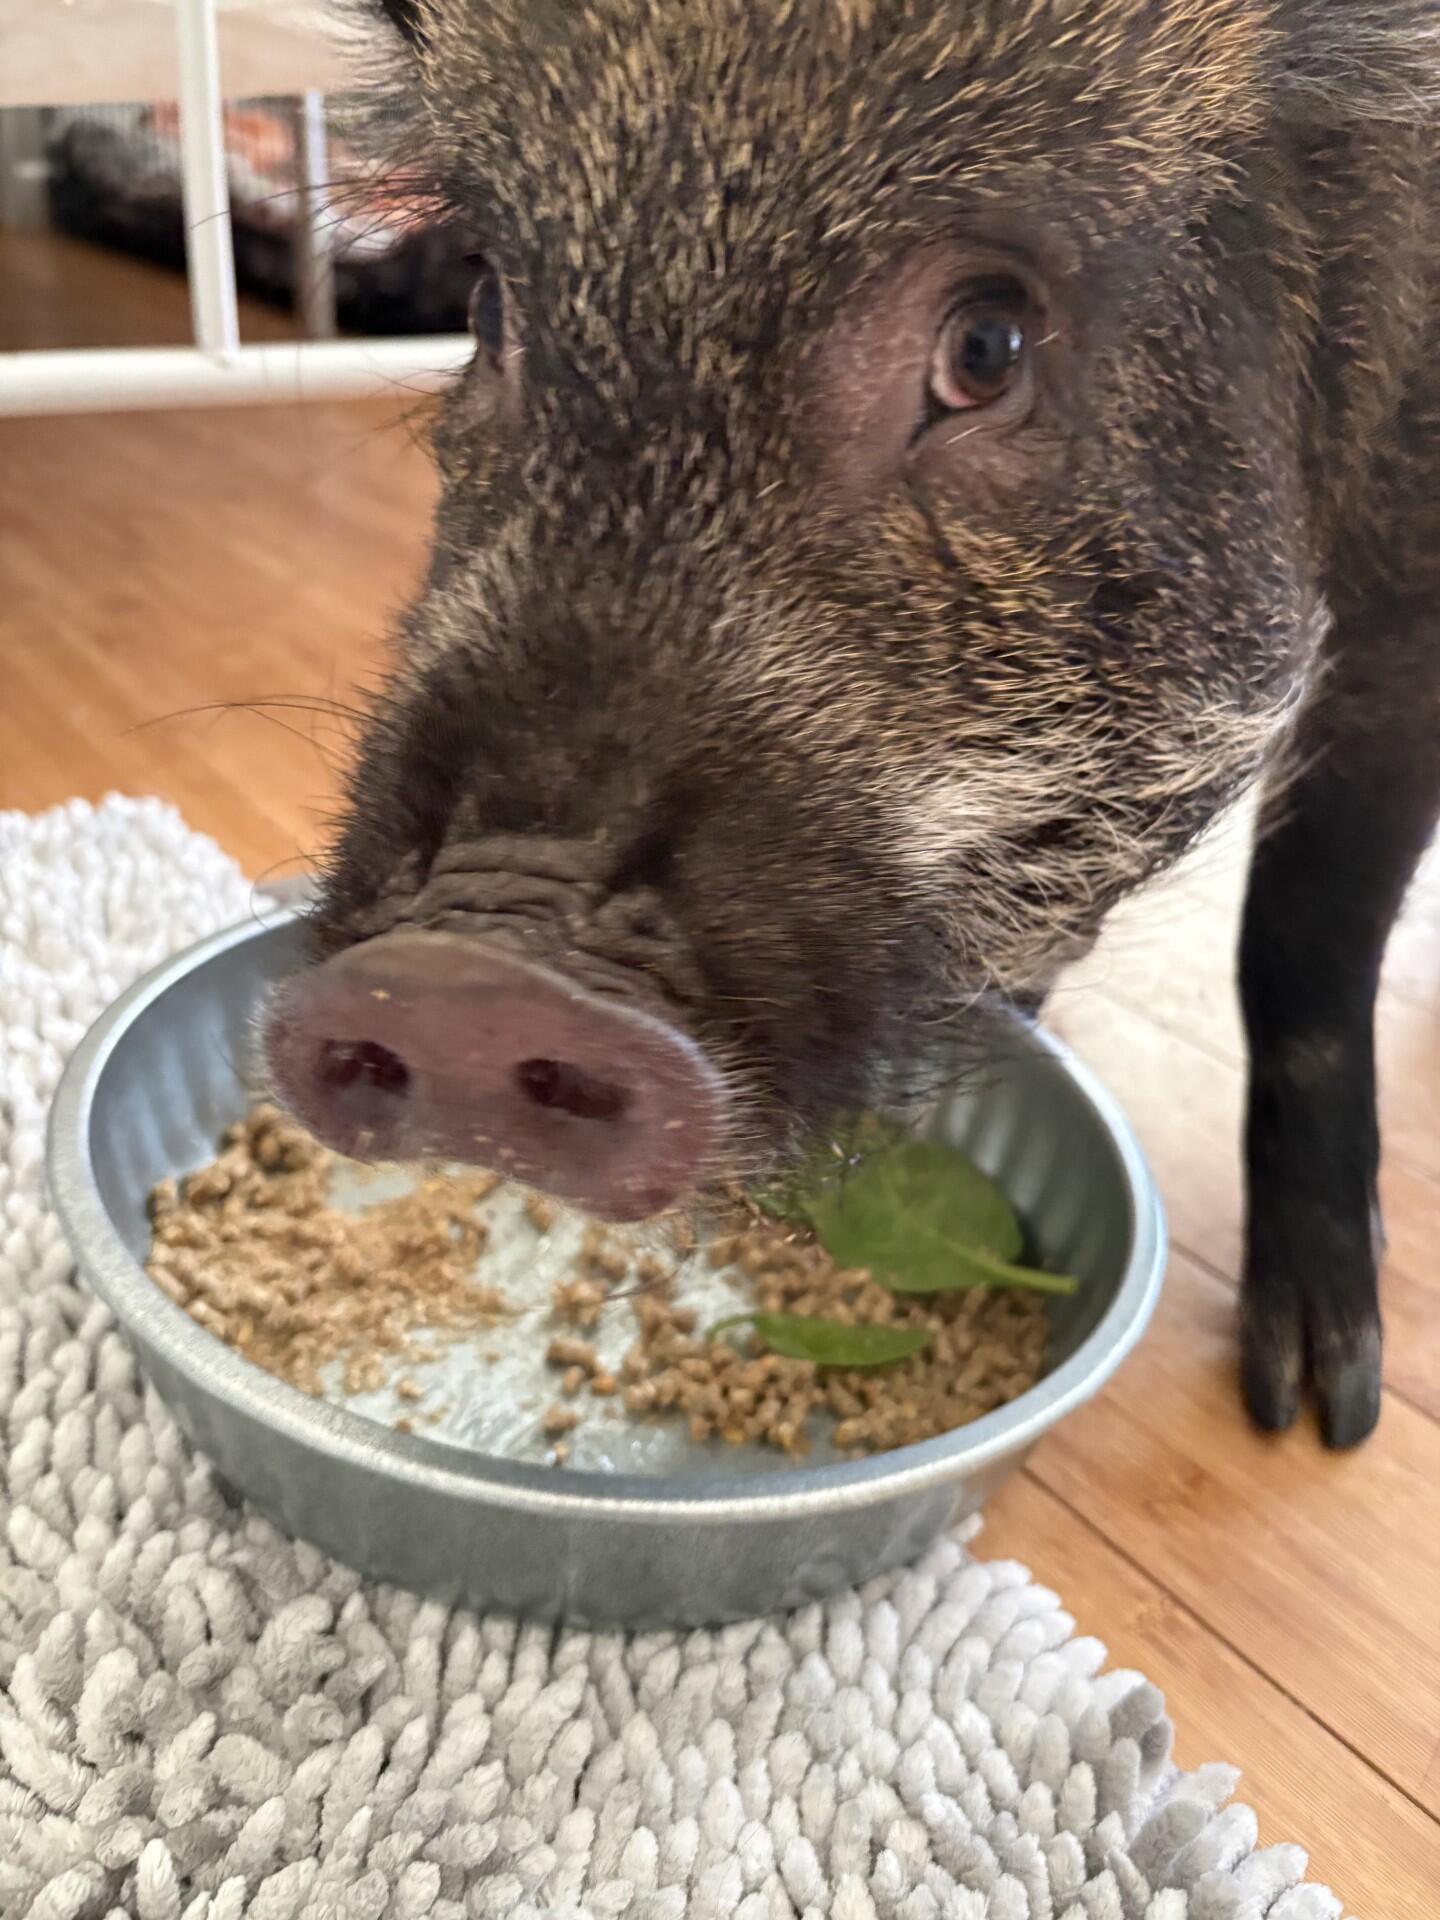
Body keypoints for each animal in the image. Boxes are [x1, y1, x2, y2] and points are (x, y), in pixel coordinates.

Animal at [266, 0, 1440, 1448]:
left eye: (986, 346)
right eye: (488, 302)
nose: (466, 973)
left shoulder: (1408, 602)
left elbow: (1309, 939)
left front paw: (1319, 1404)